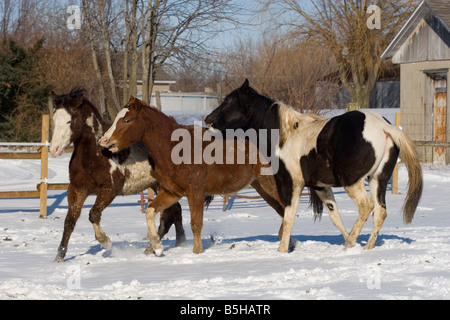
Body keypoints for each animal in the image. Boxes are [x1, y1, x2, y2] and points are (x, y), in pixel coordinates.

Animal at [51, 88, 186, 262]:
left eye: (70, 120)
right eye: (54, 119)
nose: (54, 149)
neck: (97, 155)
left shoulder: (110, 189)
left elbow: (93, 214)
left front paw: (105, 241)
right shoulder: (77, 189)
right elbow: (69, 221)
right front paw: (59, 257)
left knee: (171, 212)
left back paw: (163, 245)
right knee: (174, 211)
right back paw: (169, 244)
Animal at [100, 95, 286, 255]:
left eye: (127, 120)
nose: (104, 140)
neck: (175, 147)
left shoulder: (195, 192)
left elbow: (196, 223)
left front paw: (197, 252)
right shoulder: (171, 193)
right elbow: (150, 210)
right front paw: (157, 247)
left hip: (271, 185)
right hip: (262, 187)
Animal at [206, 80, 424, 252]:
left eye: (229, 100)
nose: (208, 120)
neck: (285, 136)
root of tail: (383, 126)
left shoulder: (291, 184)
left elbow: (288, 216)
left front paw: (282, 250)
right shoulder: (321, 187)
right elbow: (335, 216)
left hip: (352, 182)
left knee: (366, 206)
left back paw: (351, 243)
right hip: (378, 180)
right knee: (380, 211)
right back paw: (366, 247)